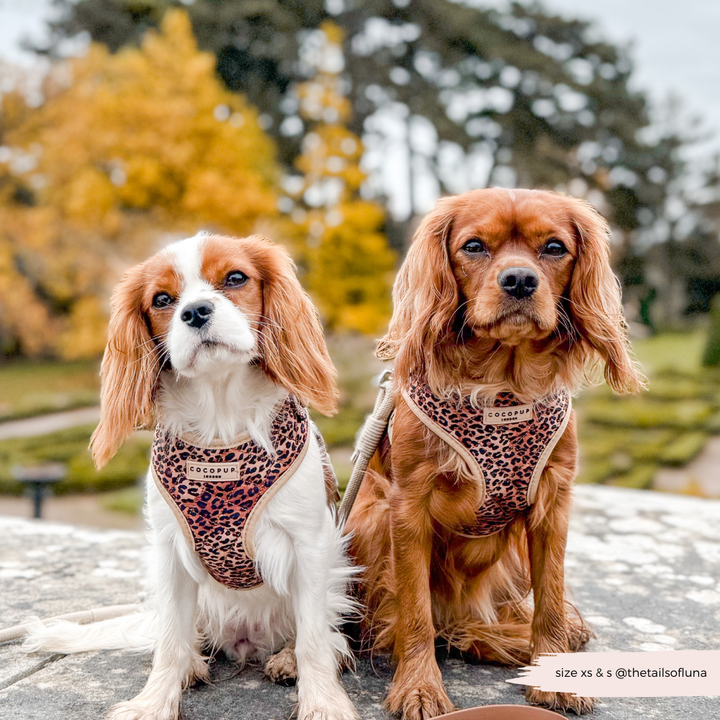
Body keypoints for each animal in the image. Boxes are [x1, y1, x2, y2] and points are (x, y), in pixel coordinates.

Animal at [26, 233, 358, 720]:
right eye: (162, 300)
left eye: (235, 278)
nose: (196, 311)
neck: (220, 422)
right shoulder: (169, 553)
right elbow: (168, 642)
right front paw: (153, 702)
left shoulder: (311, 546)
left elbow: (315, 639)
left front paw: (324, 703)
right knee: (186, 636)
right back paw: (193, 664)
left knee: (325, 636)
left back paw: (286, 659)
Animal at [346, 188, 644, 716]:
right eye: (473, 246)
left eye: (554, 247)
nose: (520, 280)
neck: (503, 388)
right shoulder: (405, 507)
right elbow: (414, 612)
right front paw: (419, 686)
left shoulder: (552, 505)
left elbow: (550, 599)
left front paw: (556, 675)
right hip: (367, 519)